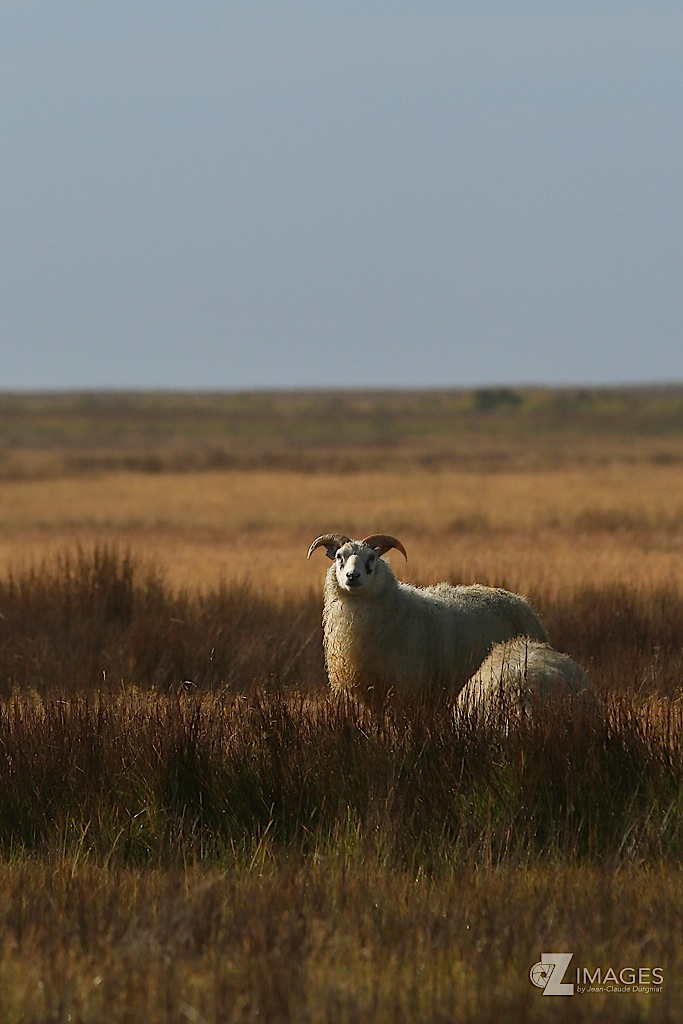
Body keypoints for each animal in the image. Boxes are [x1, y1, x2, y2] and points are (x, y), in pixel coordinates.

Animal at [307, 532, 549, 710]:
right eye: (339, 556)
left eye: (372, 558)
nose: (352, 576)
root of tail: (521, 601)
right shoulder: (371, 695)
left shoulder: (406, 692)